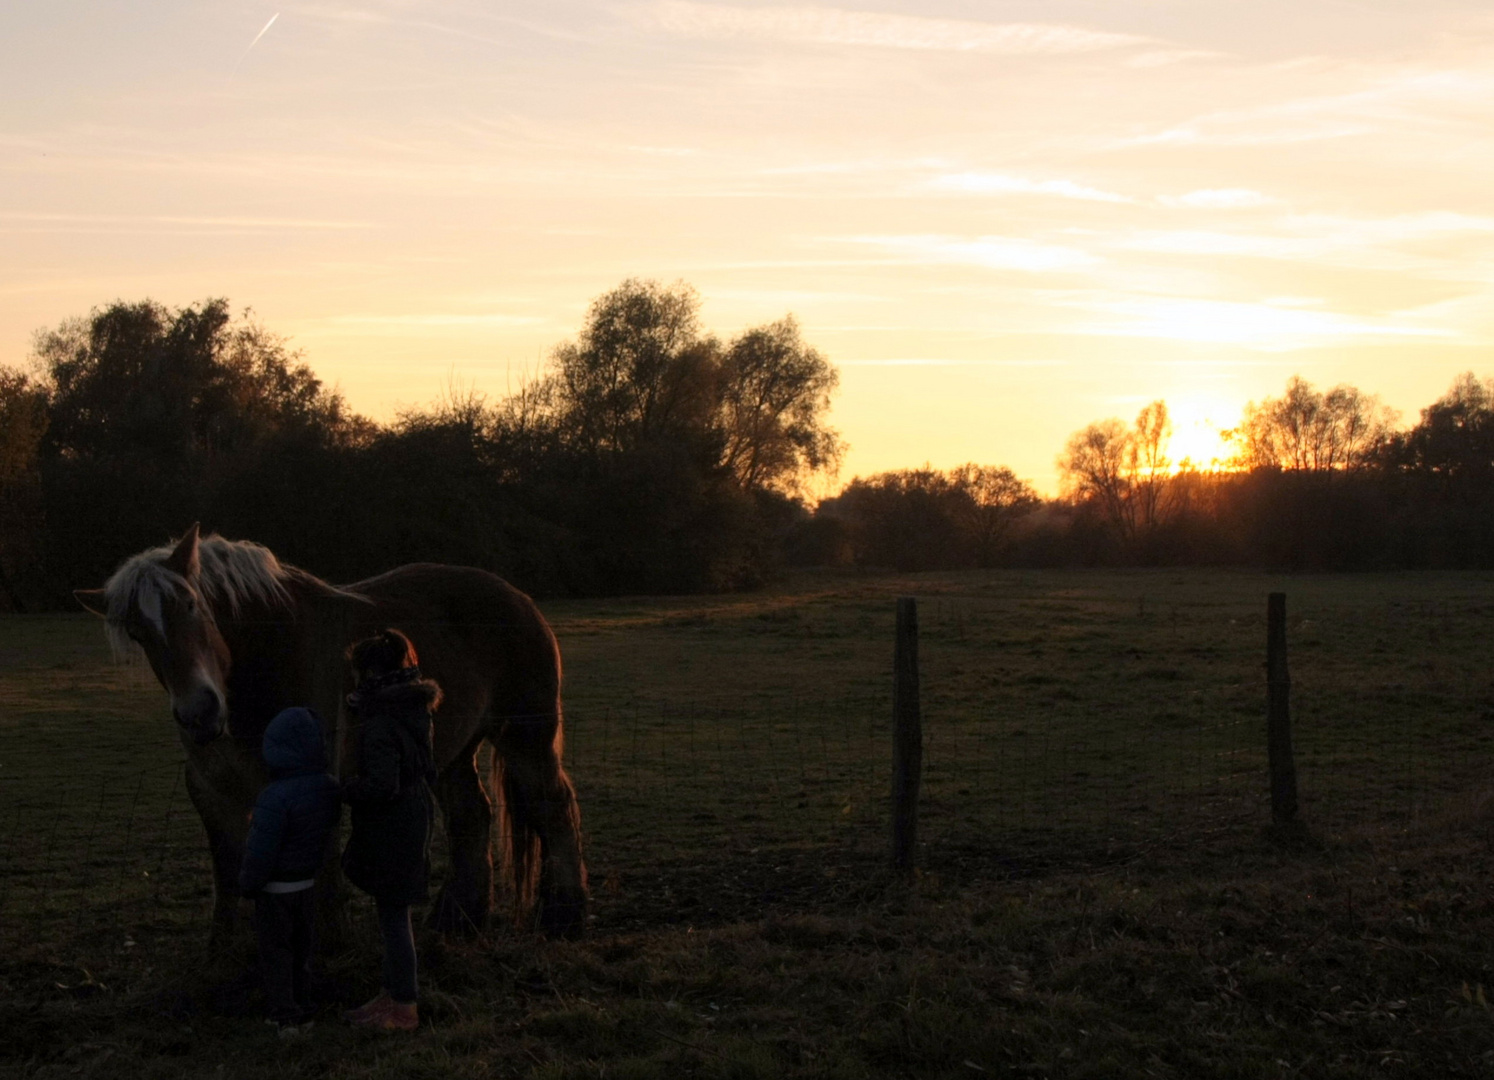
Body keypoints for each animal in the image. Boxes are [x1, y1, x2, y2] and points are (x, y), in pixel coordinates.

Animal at [75, 522, 585, 944]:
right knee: (471, 817)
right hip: (448, 752)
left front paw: (325, 945)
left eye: (191, 604)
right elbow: (229, 876)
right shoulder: (211, 792)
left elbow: (318, 877)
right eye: (138, 633)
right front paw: (225, 955)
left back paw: (564, 917)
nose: (200, 712)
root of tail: (517, 596)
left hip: (527, 738)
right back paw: (457, 920)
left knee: (554, 807)